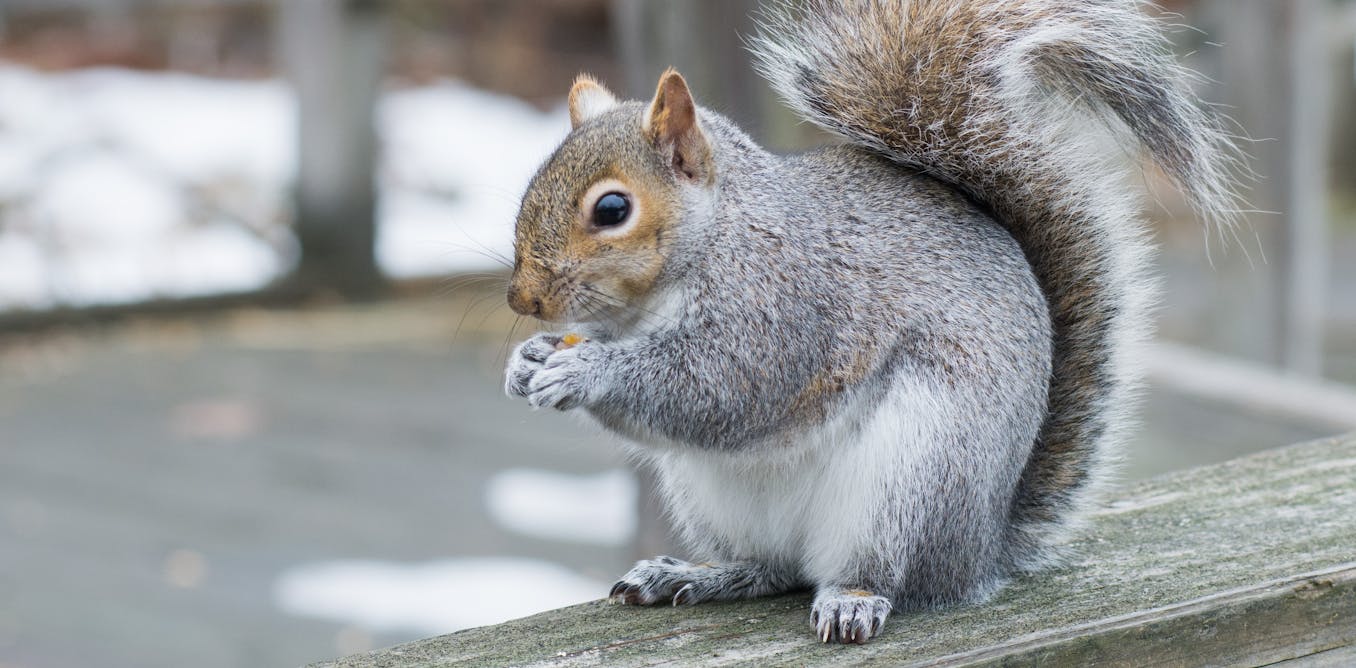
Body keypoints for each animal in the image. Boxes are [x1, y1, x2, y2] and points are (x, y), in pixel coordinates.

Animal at [503, 0, 1238, 644]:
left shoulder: (787, 306)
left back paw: (853, 600)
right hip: (711, 497)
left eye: (613, 209)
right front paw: (528, 361)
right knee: (770, 568)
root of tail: (981, 548)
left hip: (914, 477)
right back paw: (696, 575)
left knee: (881, 573)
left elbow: (719, 387)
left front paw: (582, 370)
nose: (522, 301)